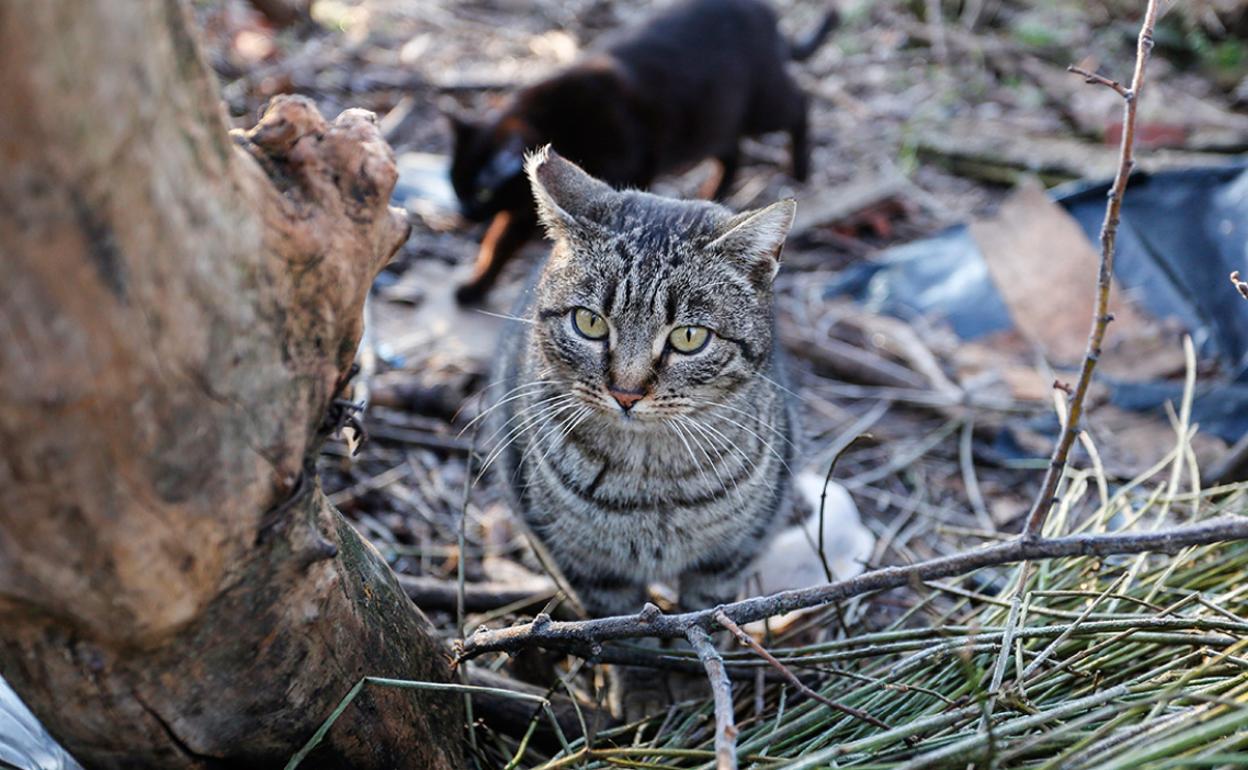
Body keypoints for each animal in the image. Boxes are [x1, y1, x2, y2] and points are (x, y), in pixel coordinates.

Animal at [444, 0, 833, 303]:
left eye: (481, 192)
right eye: (454, 186)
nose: (463, 214)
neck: (556, 121)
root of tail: (764, 12)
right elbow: (498, 243)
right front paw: (476, 285)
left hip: (762, 106)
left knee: (800, 104)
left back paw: (801, 168)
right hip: (716, 121)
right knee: (732, 155)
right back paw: (714, 194)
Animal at [489, 148, 798, 618]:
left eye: (688, 337)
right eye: (590, 322)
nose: (626, 393)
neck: (649, 478)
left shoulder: (727, 561)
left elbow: (706, 615)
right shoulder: (592, 571)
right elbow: (619, 627)